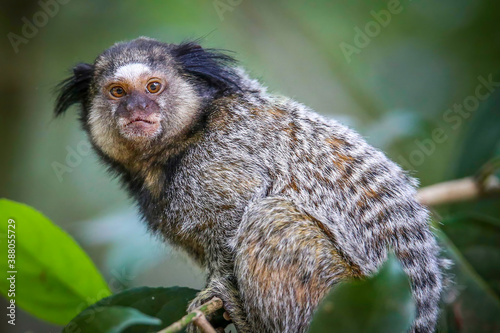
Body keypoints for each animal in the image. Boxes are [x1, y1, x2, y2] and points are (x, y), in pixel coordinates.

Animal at [54, 36, 446, 332]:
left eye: (153, 87)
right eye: (117, 92)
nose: (137, 108)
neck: (184, 141)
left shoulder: (219, 161)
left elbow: (237, 216)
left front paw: (218, 293)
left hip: (340, 292)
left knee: (270, 217)